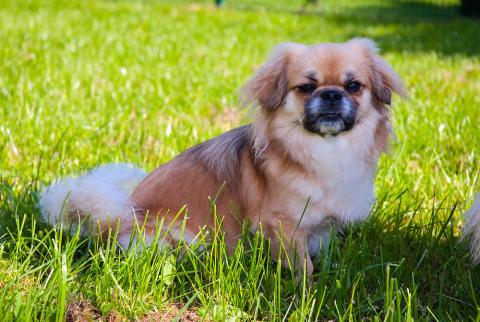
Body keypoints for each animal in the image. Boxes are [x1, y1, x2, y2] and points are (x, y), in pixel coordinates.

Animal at [41, 38, 406, 276]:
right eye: (305, 87)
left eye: (354, 86)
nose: (331, 94)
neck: (326, 150)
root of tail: (113, 220)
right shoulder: (281, 224)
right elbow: (302, 264)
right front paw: (309, 289)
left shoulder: (322, 227)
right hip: (174, 236)